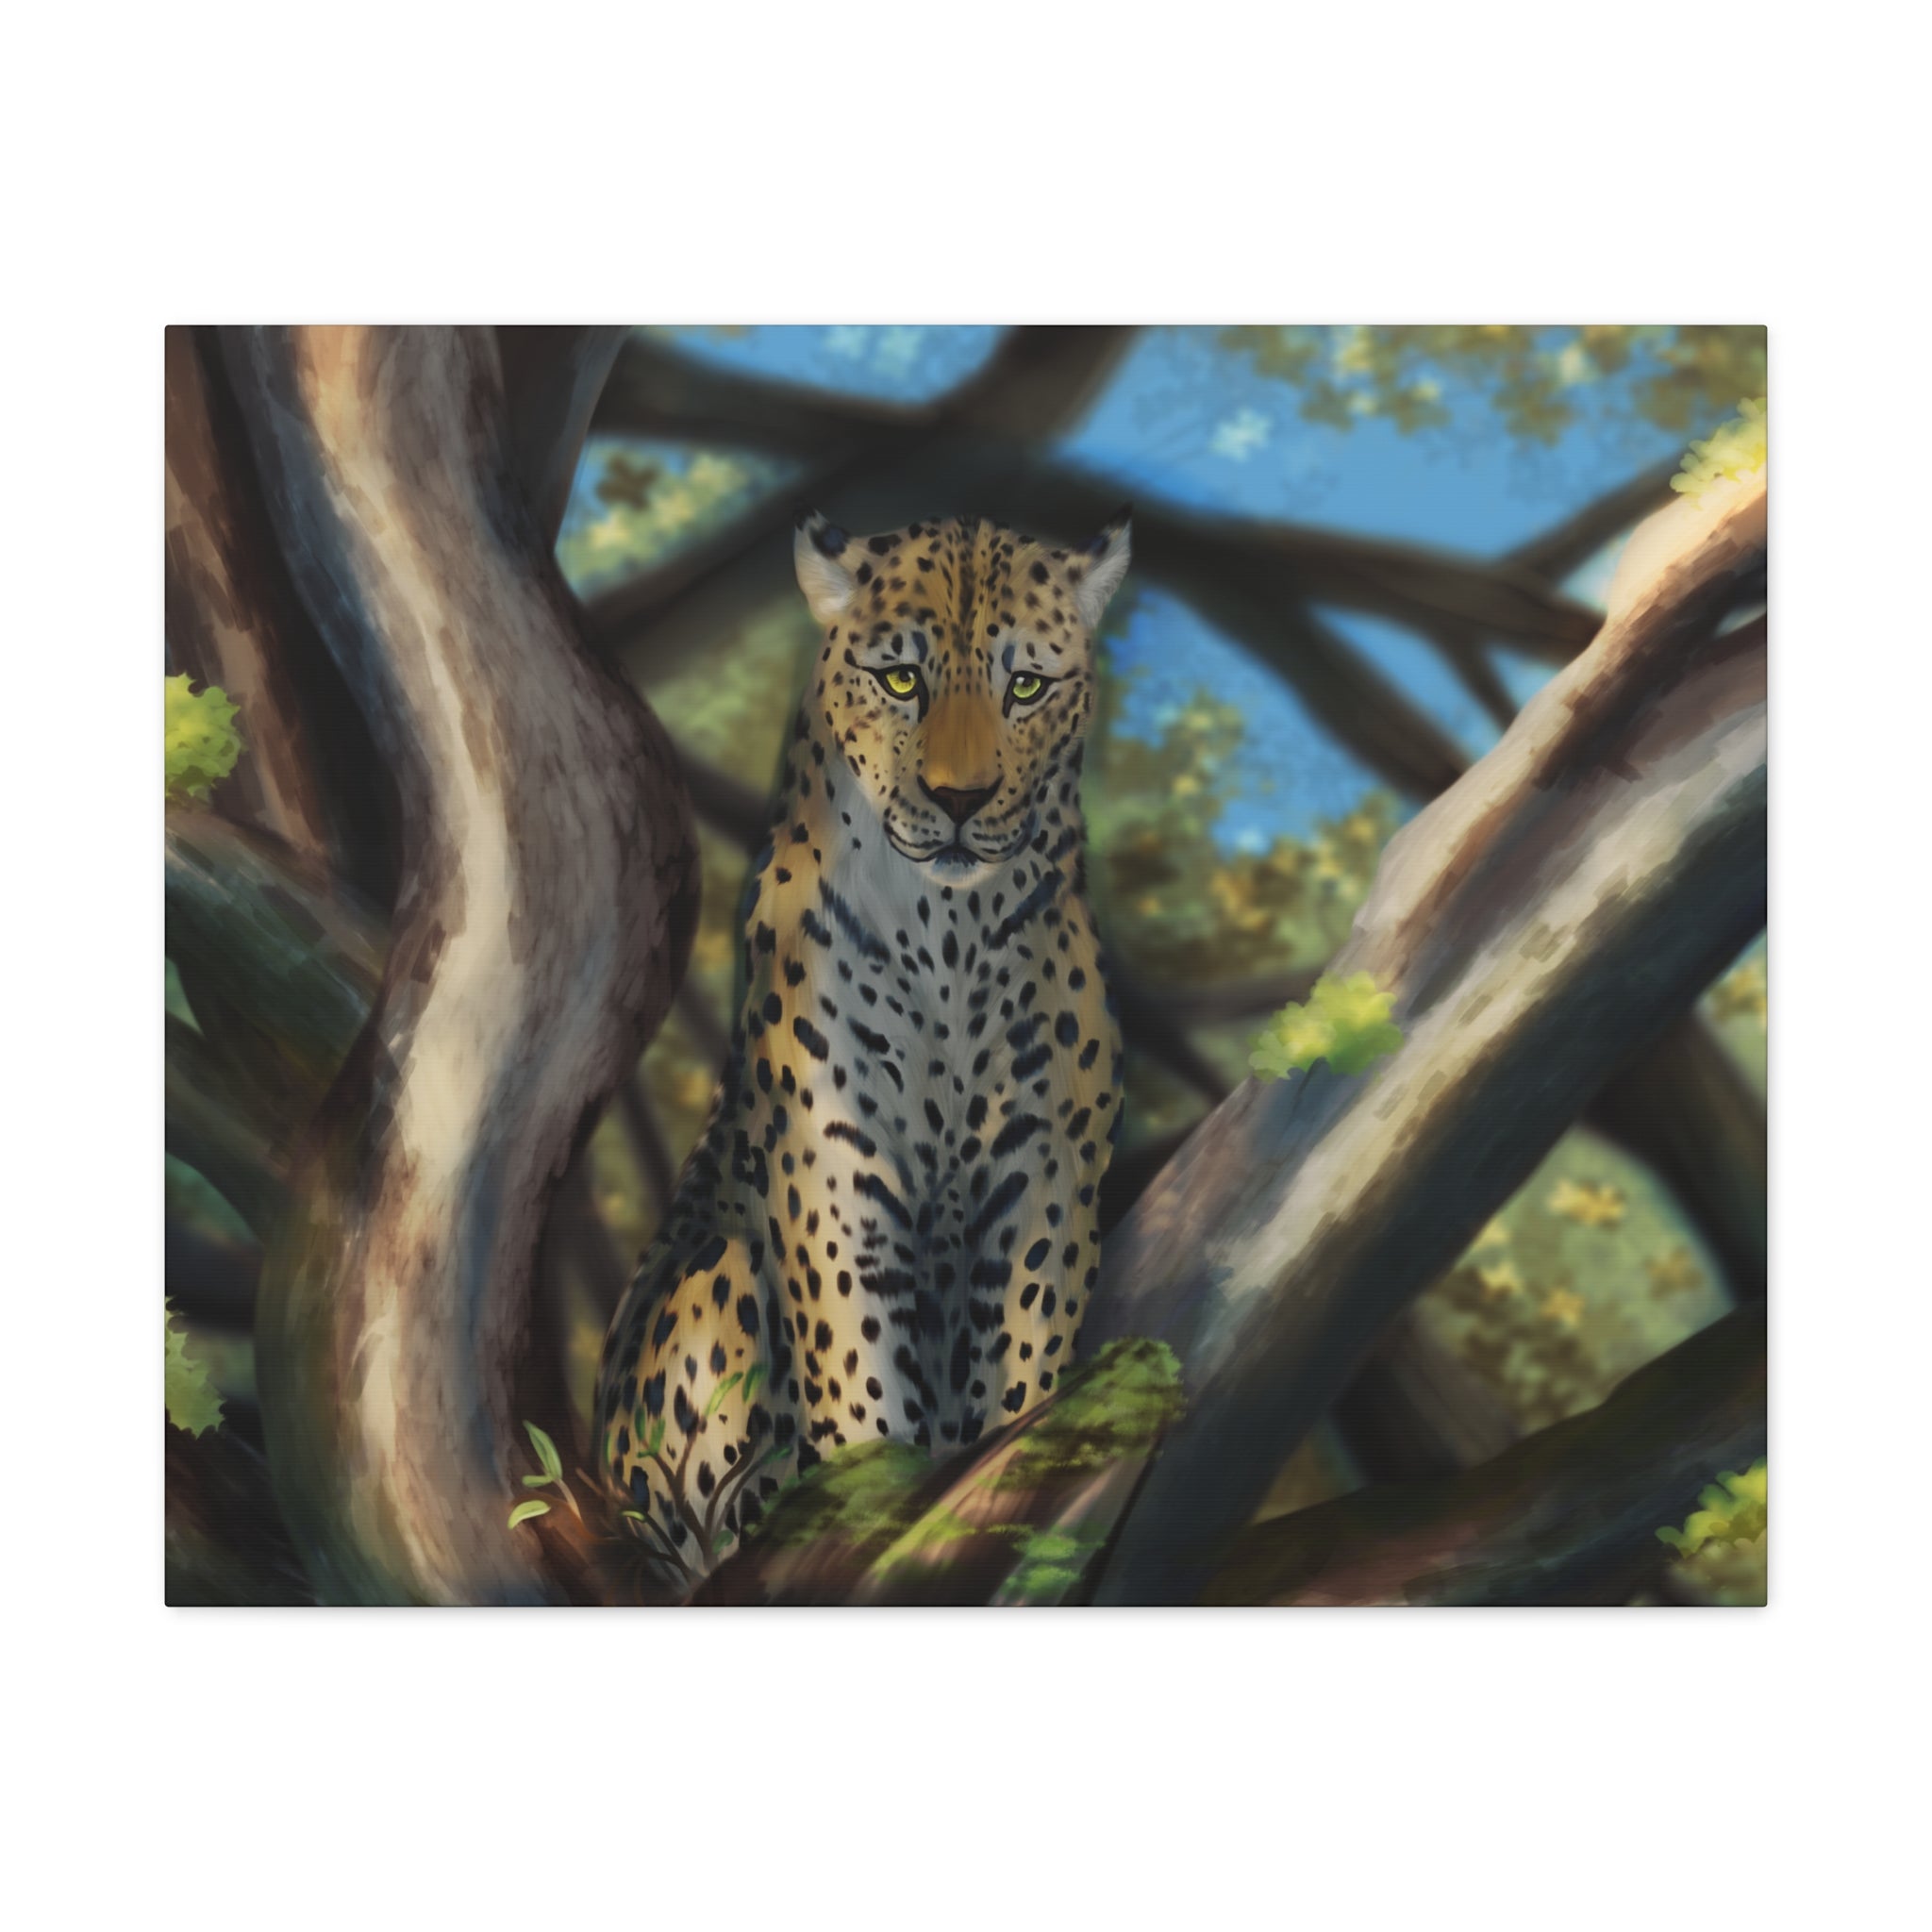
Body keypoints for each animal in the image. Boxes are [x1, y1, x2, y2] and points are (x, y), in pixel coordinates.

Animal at [594, 506, 1132, 1593]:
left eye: (1025, 686)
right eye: (900, 680)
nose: (961, 799)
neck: (949, 931)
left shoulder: (1046, 1167)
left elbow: (1026, 1352)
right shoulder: (831, 1161)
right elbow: (856, 1360)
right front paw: (875, 1499)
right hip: (710, 1285)